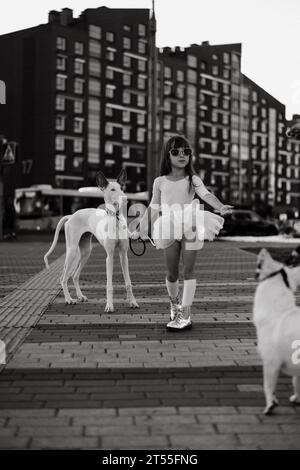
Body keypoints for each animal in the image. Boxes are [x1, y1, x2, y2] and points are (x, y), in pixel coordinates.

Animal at [43, 169, 139, 312]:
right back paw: (69, 299)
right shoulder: (109, 256)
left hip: (86, 252)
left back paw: (80, 296)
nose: (125, 198)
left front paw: (132, 302)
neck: (115, 219)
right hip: (72, 251)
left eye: (122, 188)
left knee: (74, 275)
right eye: (112, 189)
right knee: (63, 278)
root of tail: (72, 215)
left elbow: (128, 283)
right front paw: (109, 306)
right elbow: (109, 285)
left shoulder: (123, 255)